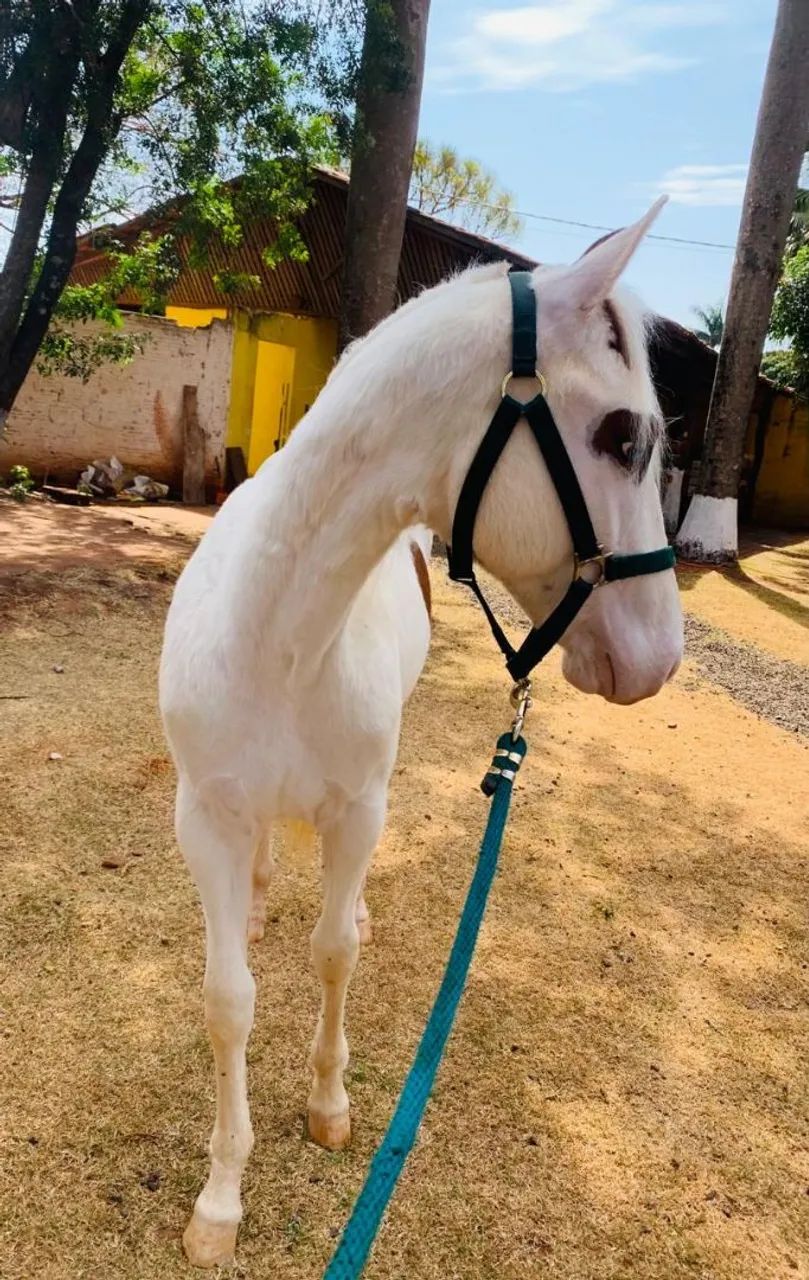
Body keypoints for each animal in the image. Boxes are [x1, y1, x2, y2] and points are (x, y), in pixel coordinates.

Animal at [159, 199, 683, 1267]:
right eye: (621, 438)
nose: (661, 659)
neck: (278, 638)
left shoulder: (358, 811)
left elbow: (332, 957)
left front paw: (326, 1106)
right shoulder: (207, 821)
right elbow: (228, 999)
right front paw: (220, 1200)